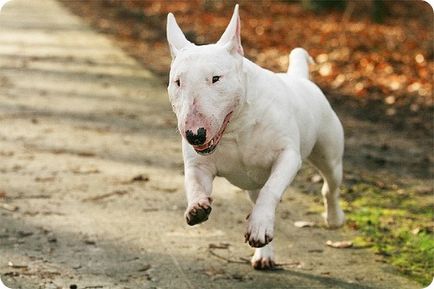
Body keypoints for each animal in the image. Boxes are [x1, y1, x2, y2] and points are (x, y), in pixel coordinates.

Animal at [167, 4, 346, 268]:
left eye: (216, 78)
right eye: (178, 82)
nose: (194, 135)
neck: (236, 127)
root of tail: (300, 78)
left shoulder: (287, 155)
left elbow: (271, 189)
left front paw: (259, 226)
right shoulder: (199, 164)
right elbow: (194, 182)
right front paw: (197, 207)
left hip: (329, 154)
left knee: (329, 186)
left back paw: (333, 218)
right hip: (253, 183)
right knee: (258, 196)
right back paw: (264, 255)